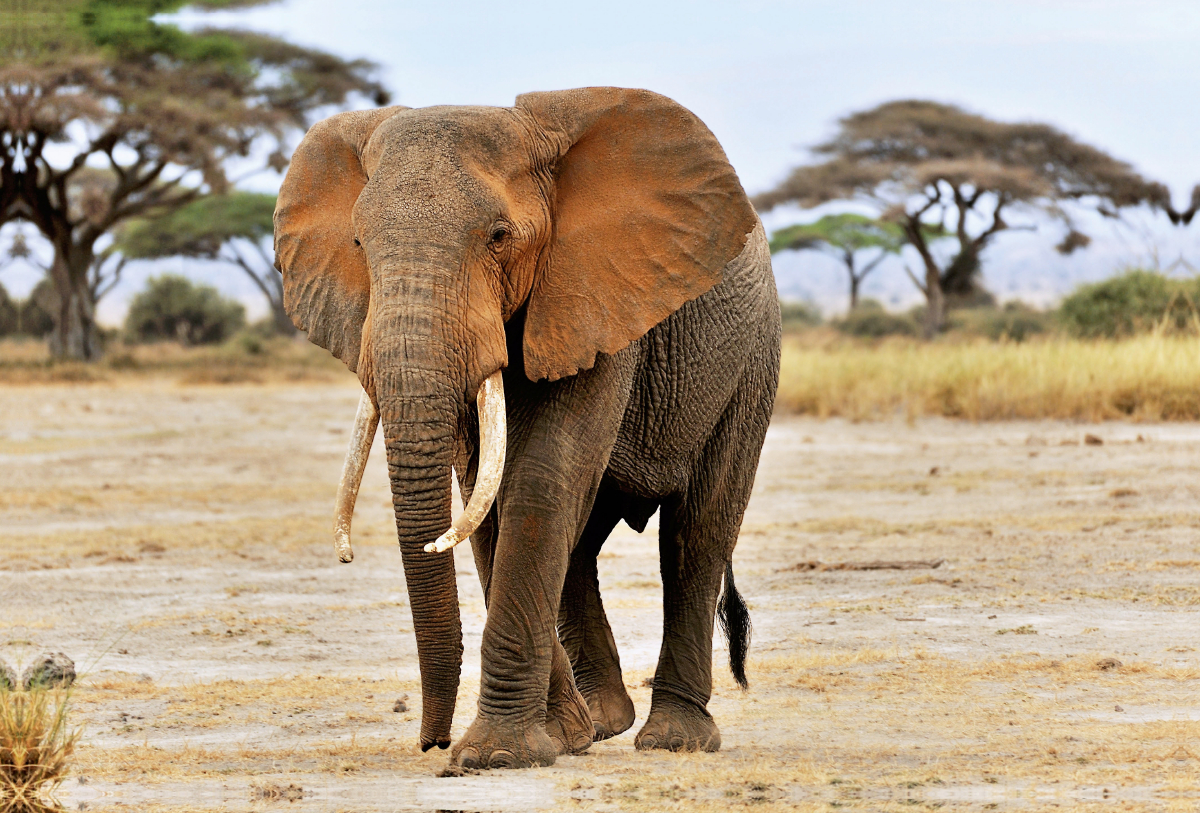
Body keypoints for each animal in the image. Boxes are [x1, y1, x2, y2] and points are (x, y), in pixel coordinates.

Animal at [271, 85, 777, 772]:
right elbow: (484, 499)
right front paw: (561, 738)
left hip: (750, 364)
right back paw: (603, 722)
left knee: (696, 537)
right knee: (582, 545)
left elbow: (540, 480)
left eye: (498, 236)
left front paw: (497, 755)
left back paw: (675, 739)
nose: (432, 742)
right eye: (357, 243)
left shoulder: (596, 294)